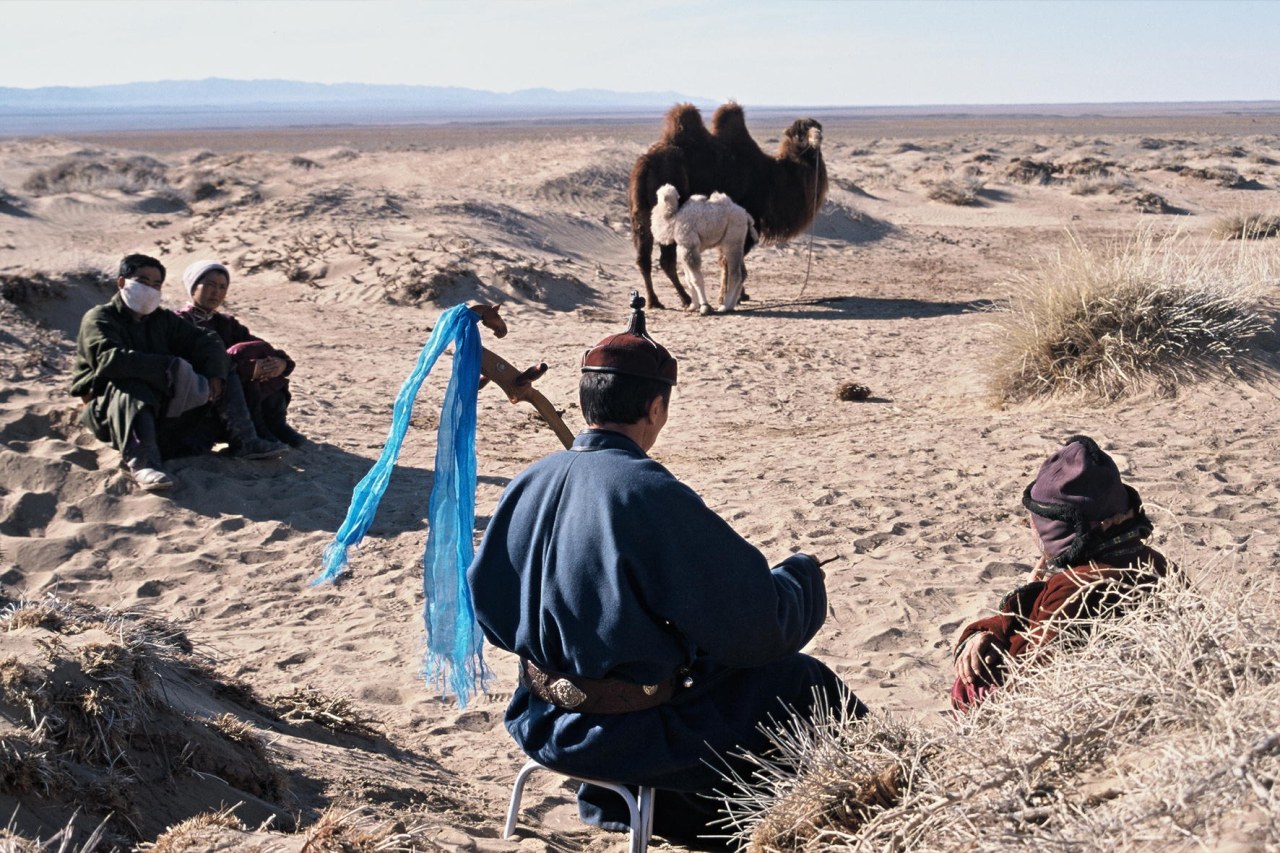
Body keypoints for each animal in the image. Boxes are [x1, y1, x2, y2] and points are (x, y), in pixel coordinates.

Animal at [629, 103, 829, 308]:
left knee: (643, 258)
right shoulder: (748, 219)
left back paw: (654, 301)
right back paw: (685, 299)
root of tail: (644, 165)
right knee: (666, 260)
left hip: (641, 213)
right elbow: (731, 259)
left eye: (818, 127)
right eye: (799, 133)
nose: (818, 137)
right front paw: (730, 297)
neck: (772, 175)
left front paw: (738, 295)